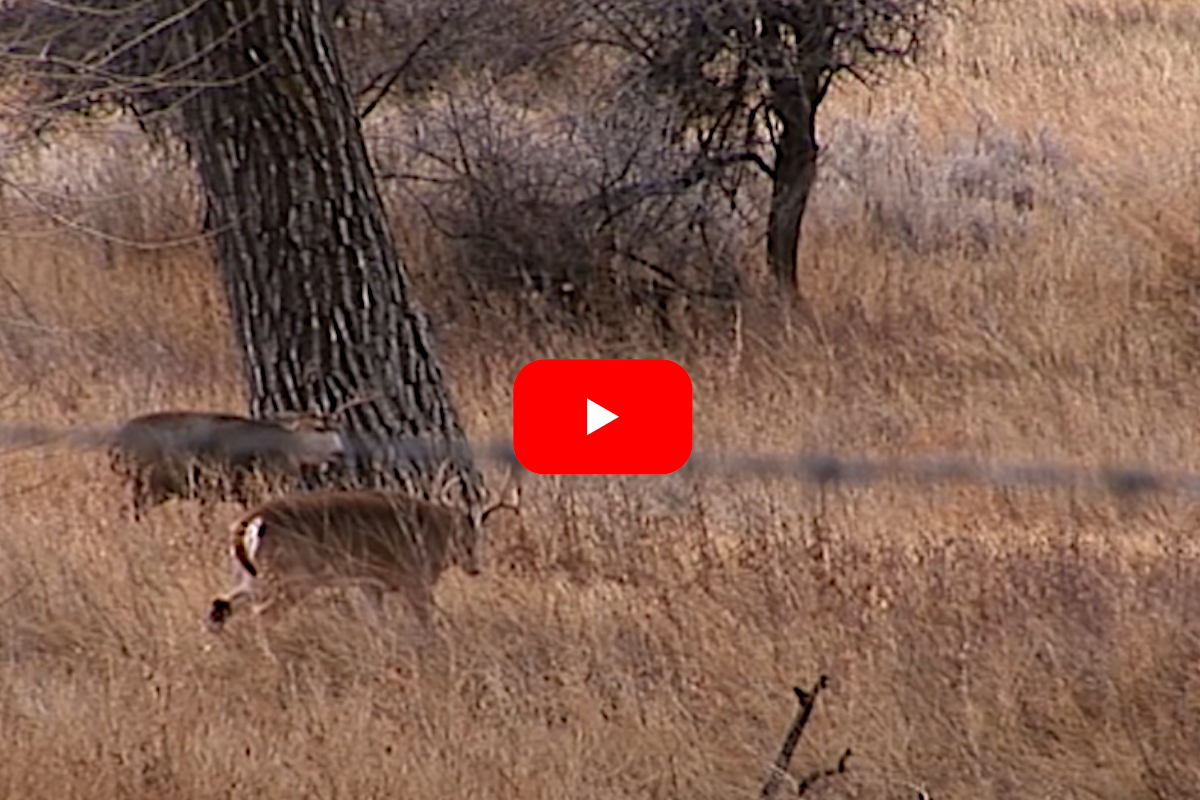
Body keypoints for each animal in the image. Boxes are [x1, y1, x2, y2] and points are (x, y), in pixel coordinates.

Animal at [205, 462, 520, 633]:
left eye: (479, 536)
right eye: (468, 537)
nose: (475, 568)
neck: (433, 533)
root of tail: (250, 523)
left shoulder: (370, 584)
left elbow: (377, 623)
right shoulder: (413, 580)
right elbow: (424, 621)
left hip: (251, 575)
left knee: (219, 604)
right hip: (293, 576)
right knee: (262, 614)